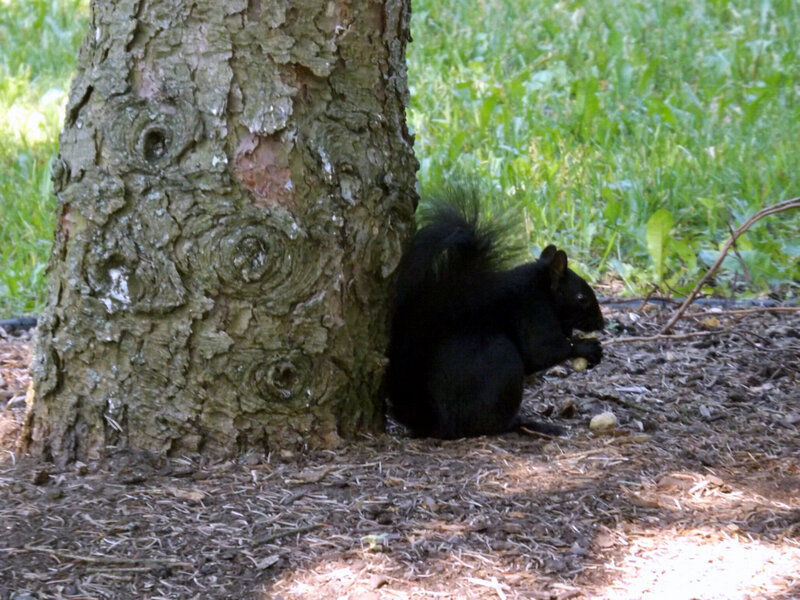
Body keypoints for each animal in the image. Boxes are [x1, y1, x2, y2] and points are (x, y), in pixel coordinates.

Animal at [386, 188, 605, 438]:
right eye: (581, 298)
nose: (601, 323)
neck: (542, 288)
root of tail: (436, 424)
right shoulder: (532, 311)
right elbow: (541, 350)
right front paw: (587, 347)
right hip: (501, 360)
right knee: (491, 424)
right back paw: (528, 424)